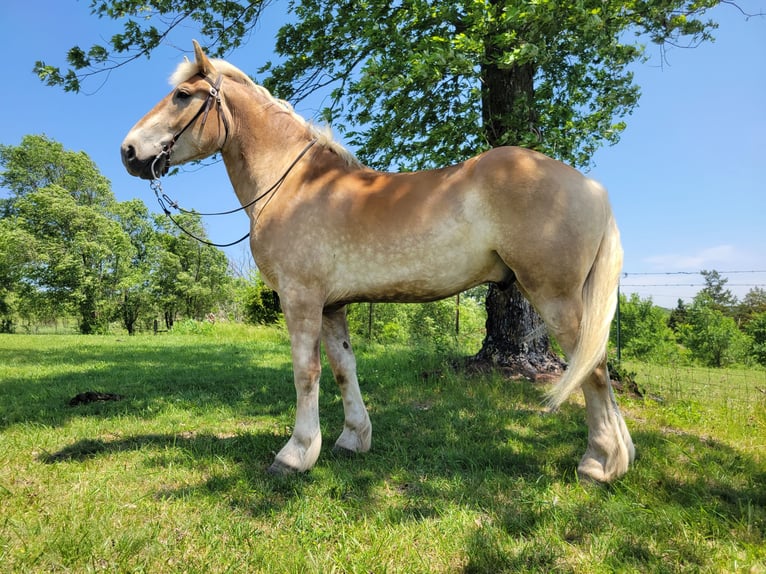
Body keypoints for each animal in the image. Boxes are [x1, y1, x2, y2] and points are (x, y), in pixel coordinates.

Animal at [120, 40, 636, 484]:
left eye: (182, 95)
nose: (128, 151)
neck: (294, 184)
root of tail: (590, 186)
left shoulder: (301, 298)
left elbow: (305, 372)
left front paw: (295, 454)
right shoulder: (331, 306)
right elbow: (342, 368)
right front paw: (352, 439)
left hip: (555, 297)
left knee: (592, 369)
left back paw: (598, 463)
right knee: (598, 367)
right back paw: (620, 454)